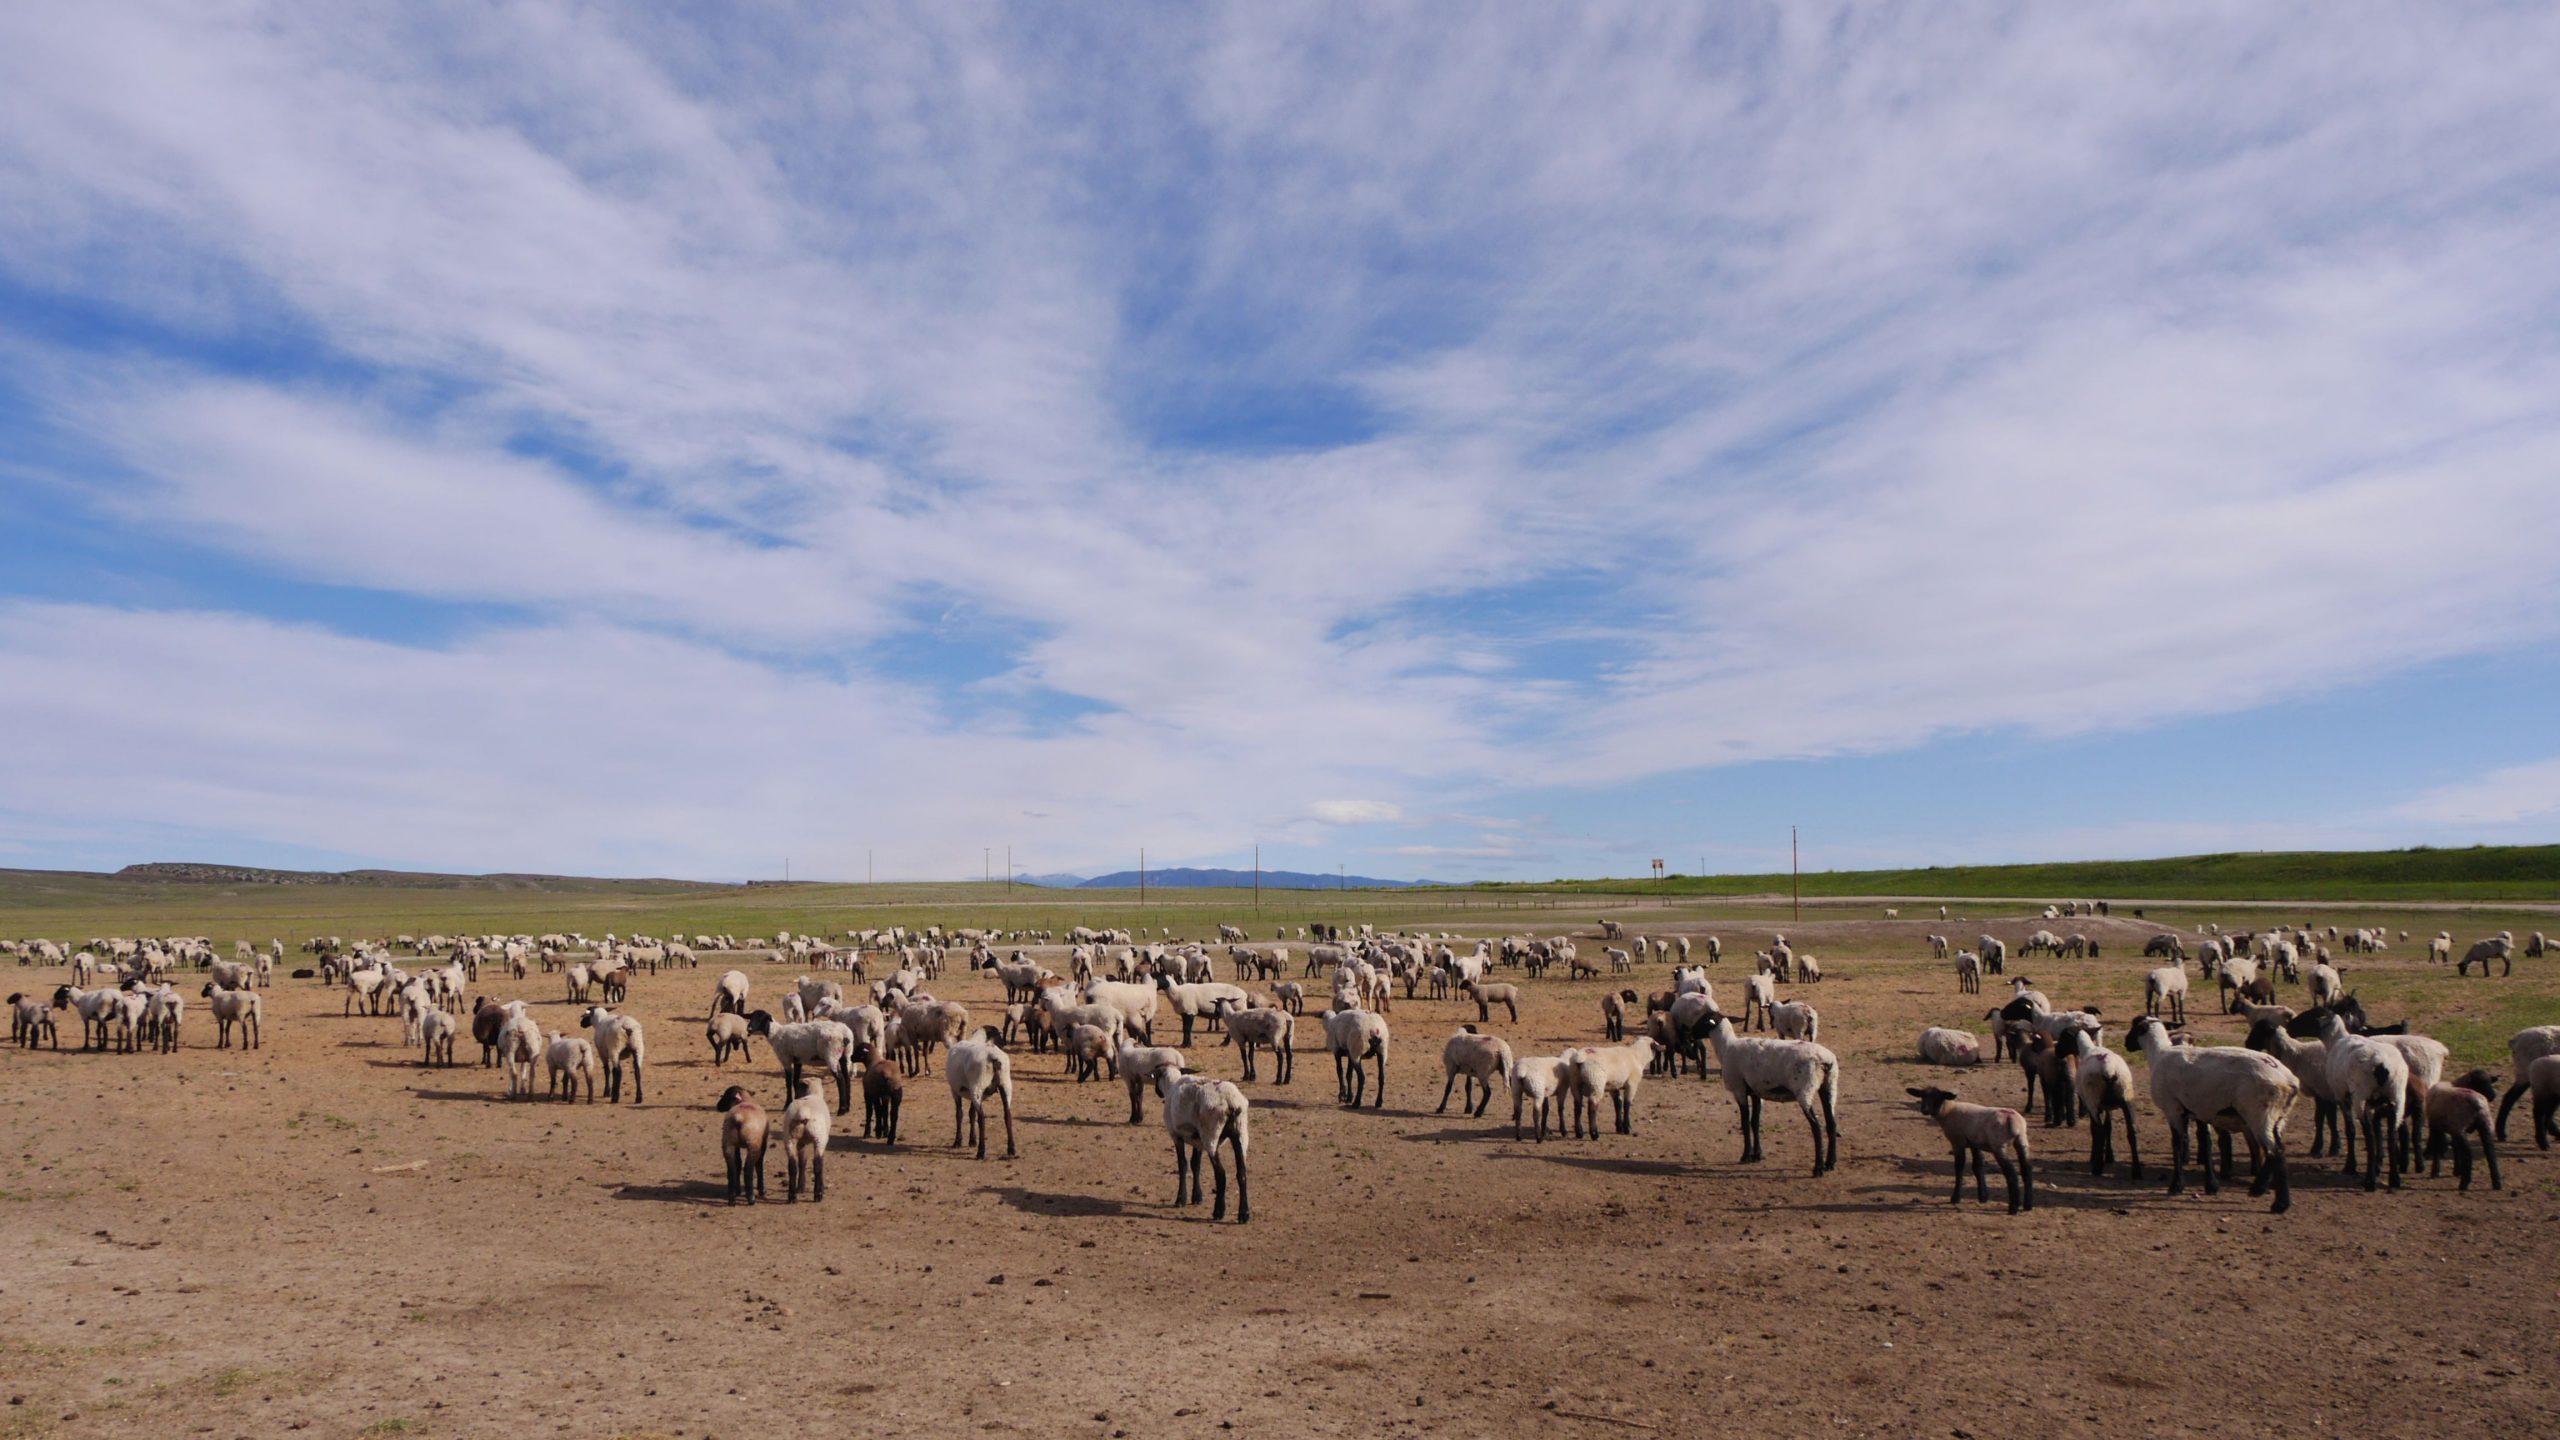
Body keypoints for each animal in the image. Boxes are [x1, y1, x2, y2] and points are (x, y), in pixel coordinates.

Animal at [947, 1019, 1013, 1153]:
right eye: (999, 1034)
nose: (1004, 1043)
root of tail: (993, 1057)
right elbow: (971, 1113)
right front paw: (972, 1140)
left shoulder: (955, 1090)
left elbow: (959, 1114)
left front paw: (958, 1141)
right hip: (1005, 1085)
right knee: (1007, 1115)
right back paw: (1011, 1149)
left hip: (978, 1087)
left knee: (982, 1118)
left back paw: (981, 1151)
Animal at [1162, 1060, 1249, 1214]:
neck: (1172, 1085)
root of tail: (1230, 1101)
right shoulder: (1198, 1141)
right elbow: (1195, 1164)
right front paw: (1197, 1197)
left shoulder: (1176, 1136)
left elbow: (1183, 1164)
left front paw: (1181, 1199)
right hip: (1240, 1133)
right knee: (1242, 1173)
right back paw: (1243, 1214)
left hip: (1211, 1135)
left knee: (1221, 1174)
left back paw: (1218, 1211)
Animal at [1699, 1004, 1843, 1173]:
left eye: (1702, 1020)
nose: (1687, 1032)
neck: (1726, 1046)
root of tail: (1826, 1060)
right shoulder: (1756, 1091)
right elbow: (1754, 1122)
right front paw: (1757, 1155)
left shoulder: (1739, 1089)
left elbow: (1744, 1122)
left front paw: (1745, 1156)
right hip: (1830, 1086)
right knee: (1831, 1124)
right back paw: (1830, 1163)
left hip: (1805, 1088)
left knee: (1816, 1126)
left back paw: (1818, 1168)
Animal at [1904, 1081, 2037, 1204]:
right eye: (1922, 1096)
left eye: (1938, 1097)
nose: (1925, 1110)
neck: (1948, 1111)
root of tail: (2012, 1119)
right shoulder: (1974, 1143)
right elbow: (1977, 1166)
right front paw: (1983, 1197)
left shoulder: (1958, 1141)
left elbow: (1959, 1166)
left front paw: (1956, 1198)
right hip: (2021, 1141)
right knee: (2027, 1169)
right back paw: (2027, 1204)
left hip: (1999, 1145)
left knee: (2011, 1173)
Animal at [2119, 1009, 2304, 1209]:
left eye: (2133, 1028)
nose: (2126, 1043)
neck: (2159, 1053)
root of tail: (2290, 1081)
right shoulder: (2199, 1109)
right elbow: (2205, 1143)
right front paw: (2212, 1185)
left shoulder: (2172, 1108)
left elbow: (2177, 1143)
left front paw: (2176, 1185)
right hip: (2279, 1115)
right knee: (2279, 1149)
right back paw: (2266, 1192)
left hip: (2260, 1113)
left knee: (2275, 1151)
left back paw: (2275, 1200)